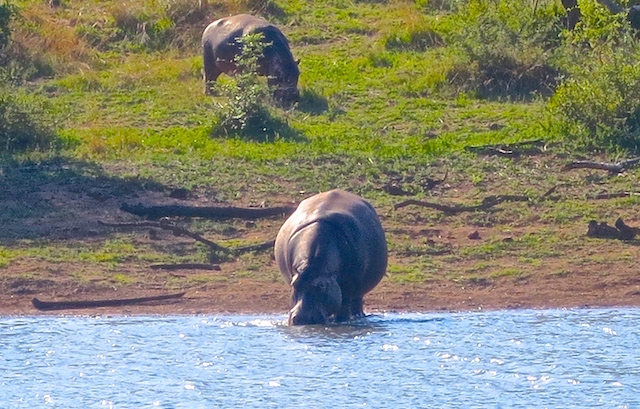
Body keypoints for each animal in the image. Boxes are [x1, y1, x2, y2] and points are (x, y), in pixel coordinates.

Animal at [274, 188, 388, 326]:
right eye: (294, 284)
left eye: (322, 286)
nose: (302, 318)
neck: (313, 265)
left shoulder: (349, 286)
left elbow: (344, 307)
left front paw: (342, 321)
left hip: (358, 289)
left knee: (356, 302)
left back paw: (358, 316)